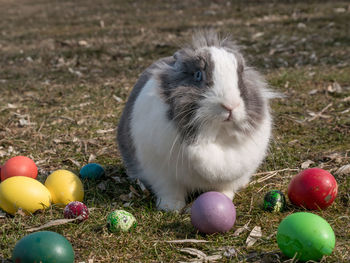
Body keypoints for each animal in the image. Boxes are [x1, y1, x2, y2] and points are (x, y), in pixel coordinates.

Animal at [117, 31, 276, 212]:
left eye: (240, 76)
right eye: (198, 75)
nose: (230, 105)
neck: (215, 133)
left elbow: (224, 189)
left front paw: (223, 199)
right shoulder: (163, 175)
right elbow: (170, 191)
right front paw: (170, 208)